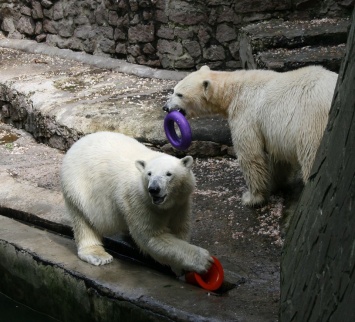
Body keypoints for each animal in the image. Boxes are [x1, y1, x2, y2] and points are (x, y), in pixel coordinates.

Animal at [60, 131, 214, 274]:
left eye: (169, 174)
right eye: (149, 173)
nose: (154, 189)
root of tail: (77, 143)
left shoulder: (181, 202)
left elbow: (180, 228)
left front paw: (179, 269)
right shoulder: (138, 201)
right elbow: (152, 237)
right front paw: (205, 261)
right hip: (79, 188)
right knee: (84, 221)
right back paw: (98, 255)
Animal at [164, 65, 340, 206]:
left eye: (180, 94)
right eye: (173, 90)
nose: (165, 107)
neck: (234, 91)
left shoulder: (246, 113)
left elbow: (251, 155)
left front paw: (251, 198)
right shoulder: (273, 131)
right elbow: (277, 156)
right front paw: (276, 183)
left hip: (312, 119)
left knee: (310, 154)